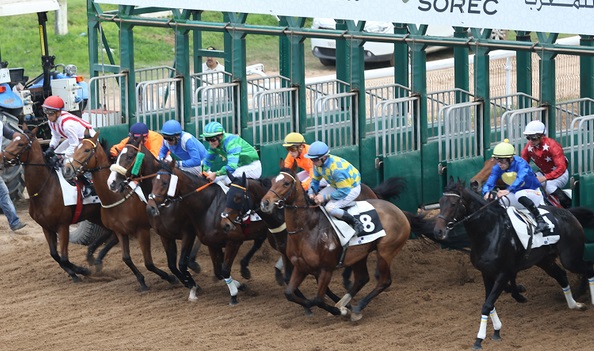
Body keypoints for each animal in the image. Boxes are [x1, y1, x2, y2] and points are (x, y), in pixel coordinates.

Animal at [1, 126, 107, 284]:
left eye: (20, 144)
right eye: (12, 140)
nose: (1, 158)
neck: (46, 188)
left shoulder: (62, 226)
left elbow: (63, 257)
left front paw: (82, 270)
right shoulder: (46, 227)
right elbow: (54, 255)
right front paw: (74, 272)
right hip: (96, 215)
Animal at [63, 133, 178, 292]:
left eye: (86, 150)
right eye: (74, 149)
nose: (67, 169)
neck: (115, 198)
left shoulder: (142, 230)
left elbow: (148, 262)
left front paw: (169, 277)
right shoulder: (120, 231)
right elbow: (126, 258)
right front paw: (141, 281)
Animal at [146, 162, 270, 306]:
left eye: (165, 183)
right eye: (152, 181)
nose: (150, 208)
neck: (209, 206)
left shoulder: (232, 241)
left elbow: (223, 269)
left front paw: (233, 295)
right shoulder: (211, 242)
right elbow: (218, 271)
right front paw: (239, 286)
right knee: (259, 241)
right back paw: (245, 268)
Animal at [260, 170, 412, 322]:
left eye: (286, 183)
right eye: (272, 182)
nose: (265, 203)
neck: (307, 229)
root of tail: (398, 210)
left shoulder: (326, 269)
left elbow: (318, 299)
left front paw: (340, 311)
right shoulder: (301, 267)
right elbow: (289, 294)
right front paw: (324, 307)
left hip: (386, 251)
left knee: (384, 281)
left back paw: (356, 308)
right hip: (360, 254)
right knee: (362, 278)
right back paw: (345, 304)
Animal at [430, 179, 592, 351]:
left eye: (453, 203)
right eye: (440, 202)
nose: (438, 231)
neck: (489, 232)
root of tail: (569, 213)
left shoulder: (504, 273)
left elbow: (487, 305)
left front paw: (479, 339)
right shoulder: (486, 273)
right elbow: (490, 303)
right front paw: (496, 331)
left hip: (570, 258)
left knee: (588, 268)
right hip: (544, 260)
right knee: (561, 275)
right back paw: (574, 304)